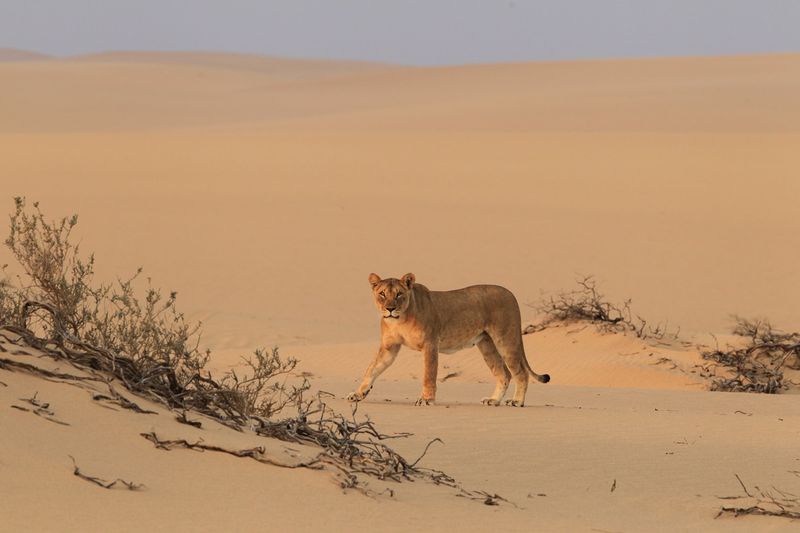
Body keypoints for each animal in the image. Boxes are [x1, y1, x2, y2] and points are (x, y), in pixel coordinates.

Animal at [347, 273, 550, 406]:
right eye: (382, 294)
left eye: (398, 294)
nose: (390, 309)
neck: (399, 320)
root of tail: (510, 293)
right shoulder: (389, 347)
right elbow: (372, 369)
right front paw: (358, 394)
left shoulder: (430, 344)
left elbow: (429, 374)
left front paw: (426, 399)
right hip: (487, 345)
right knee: (504, 374)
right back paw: (493, 400)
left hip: (505, 339)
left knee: (520, 373)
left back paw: (516, 401)